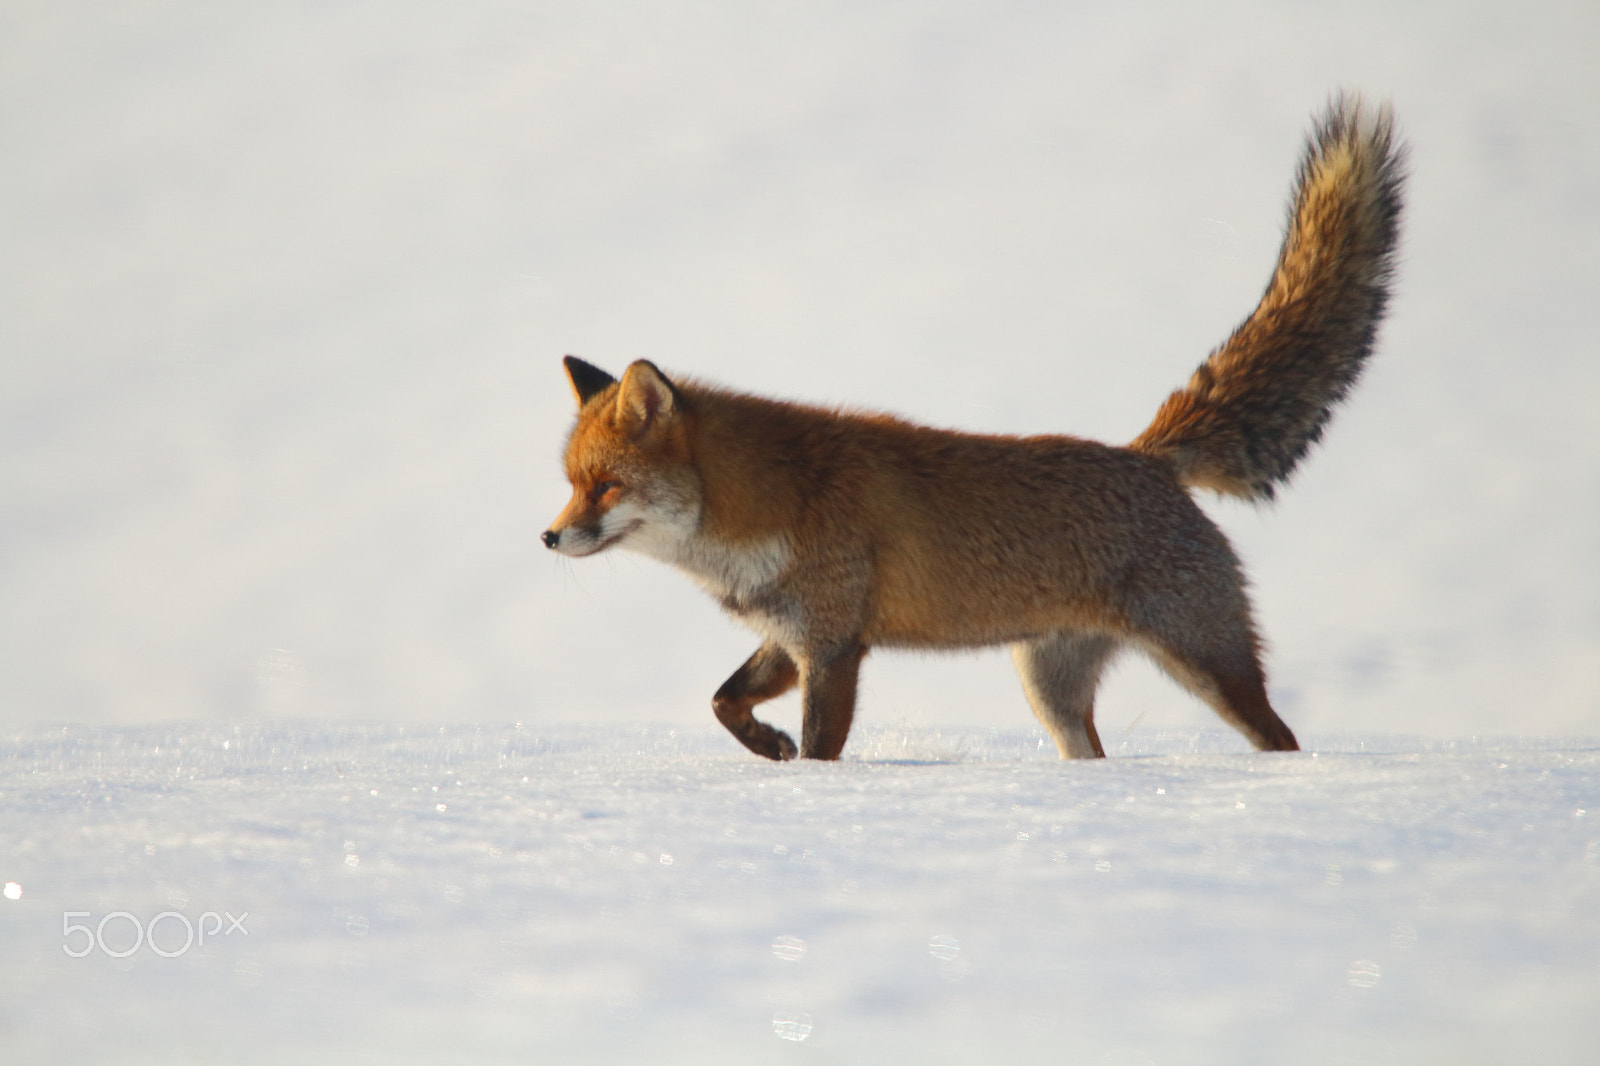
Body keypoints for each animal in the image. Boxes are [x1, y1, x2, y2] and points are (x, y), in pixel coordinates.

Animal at [542, 95, 1405, 762]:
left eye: (605, 486)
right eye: (570, 484)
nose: (548, 538)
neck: (763, 511)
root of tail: (1148, 459)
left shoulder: (834, 646)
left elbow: (818, 746)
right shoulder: (793, 636)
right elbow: (722, 701)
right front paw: (767, 747)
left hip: (1207, 661)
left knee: (1280, 738)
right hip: (1050, 691)